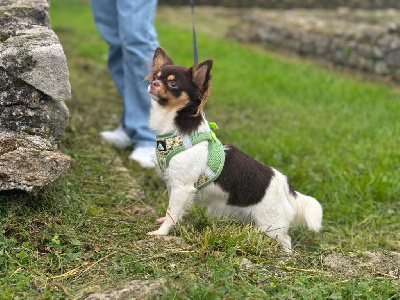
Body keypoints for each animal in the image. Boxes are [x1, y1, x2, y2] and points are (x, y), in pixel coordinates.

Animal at [144, 46, 322, 248]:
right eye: (155, 77)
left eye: (173, 84)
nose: (154, 83)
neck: (175, 130)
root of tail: (284, 183)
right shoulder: (173, 184)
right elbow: (174, 210)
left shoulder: (182, 187)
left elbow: (171, 212)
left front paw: (161, 232)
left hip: (271, 226)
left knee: (287, 241)